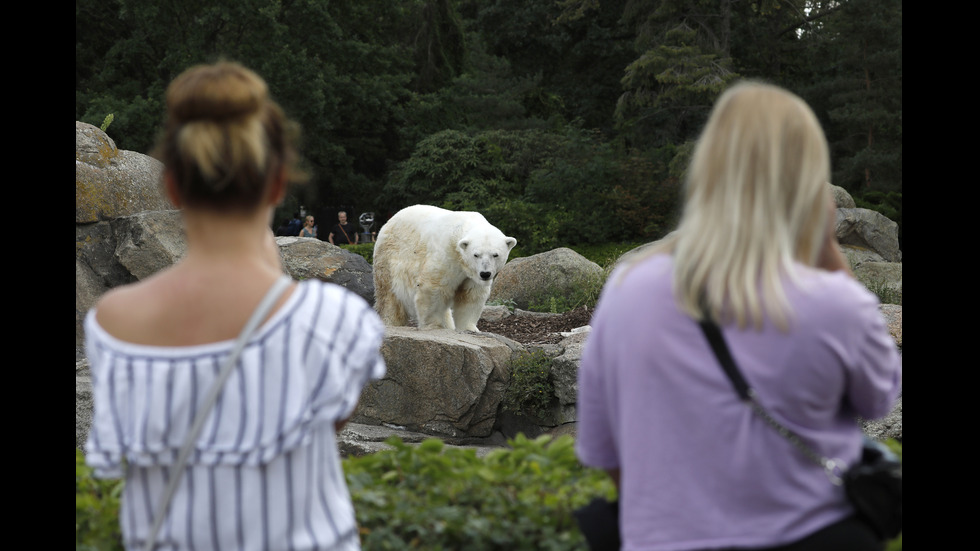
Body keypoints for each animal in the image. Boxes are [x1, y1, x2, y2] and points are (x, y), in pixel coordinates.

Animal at [372, 204, 516, 330]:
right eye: (476, 255)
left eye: (495, 254)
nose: (485, 274)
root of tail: (388, 222)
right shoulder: (446, 256)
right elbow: (433, 290)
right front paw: (435, 325)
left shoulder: (472, 275)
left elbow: (471, 296)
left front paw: (469, 328)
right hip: (389, 258)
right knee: (389, 297)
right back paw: (390, 321)